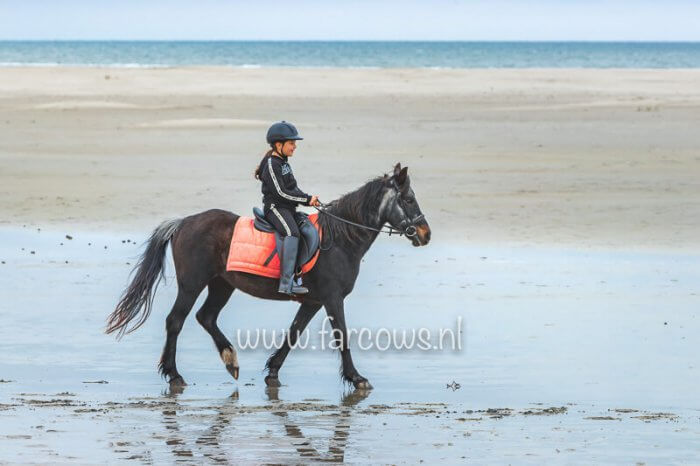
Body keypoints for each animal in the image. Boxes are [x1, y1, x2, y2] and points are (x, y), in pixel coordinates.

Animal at [106, 164, 430, 390]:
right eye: (409, 199)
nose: (425, 234)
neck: (339, 239)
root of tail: (183, 222)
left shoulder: (313, 301)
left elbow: (293, 332)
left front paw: (273, 371)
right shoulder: (332, 298)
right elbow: (342, 336)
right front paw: (357, 378)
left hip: (222, 284)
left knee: (206, 317)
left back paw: (231, 360)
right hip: (192, 284)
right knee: (176, 321)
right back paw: (174, 375)